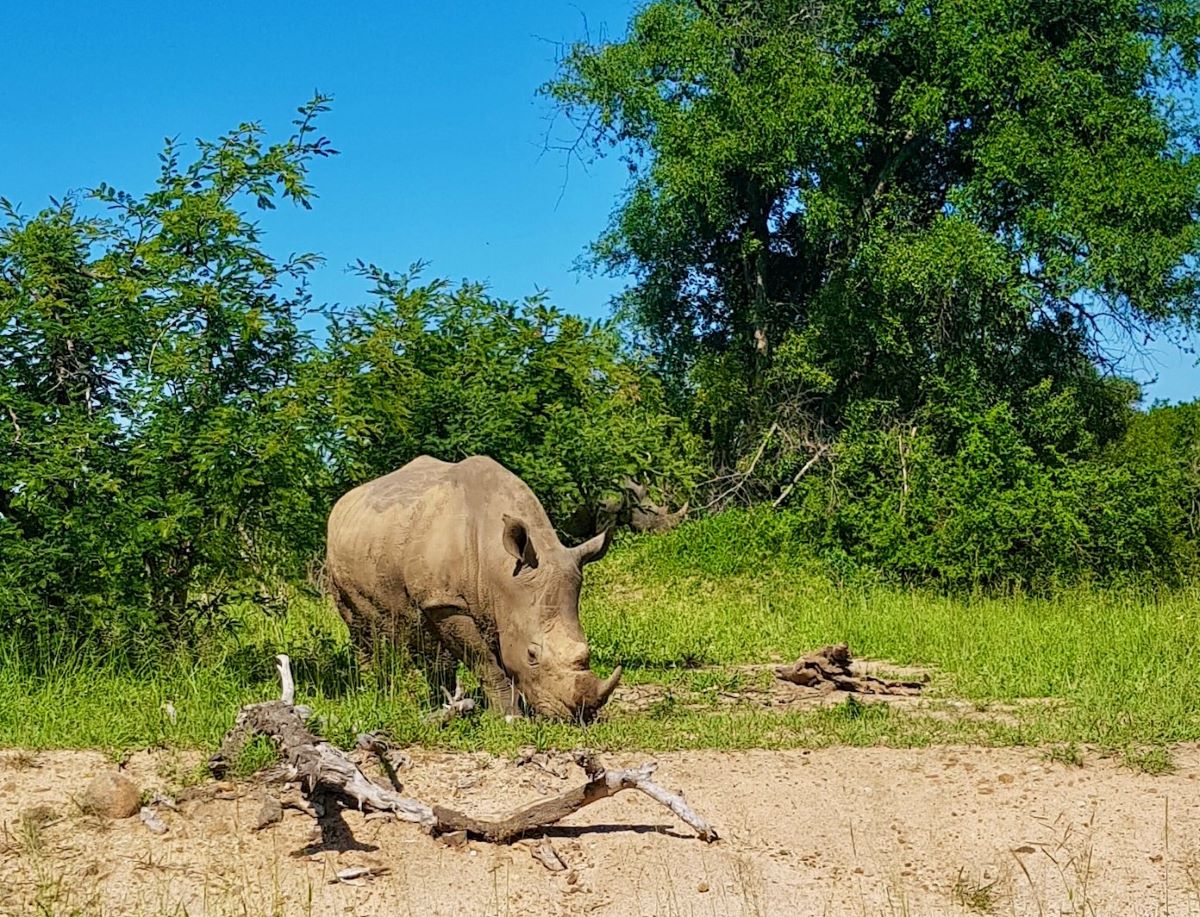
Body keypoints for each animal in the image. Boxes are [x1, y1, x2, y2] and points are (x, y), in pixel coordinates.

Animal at [328, 456, 628, 720]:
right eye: (532, 654)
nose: (581, 715)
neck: (502, 569)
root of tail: (342, 502)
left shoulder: (493, 602)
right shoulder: (449, 604)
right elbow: (484, 661)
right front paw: (509, 715)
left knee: (418, 629)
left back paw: (438, 701)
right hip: (337, 559)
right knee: (360, 626)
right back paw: (373, 692)